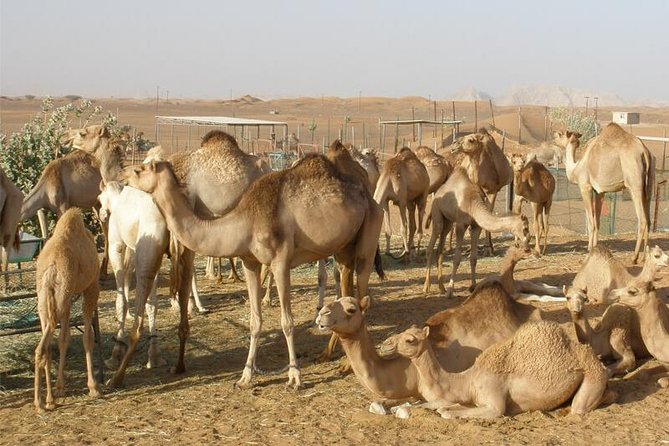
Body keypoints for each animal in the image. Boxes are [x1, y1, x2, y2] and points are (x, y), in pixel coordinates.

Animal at [33, 209, 100, 412]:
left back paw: (49, 399)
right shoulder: (92, 286)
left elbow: (64, 339)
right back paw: (39, 403)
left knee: (48, 345)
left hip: (46, 301)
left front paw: (60, 387)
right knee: (42, 348)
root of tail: (50, 270)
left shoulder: (68, 296)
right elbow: (87, 337)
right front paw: (93, 387)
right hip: (62, 296)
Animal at [126, 154, 383, 389]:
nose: (123, 175)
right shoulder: (249, 262)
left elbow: (287, 322)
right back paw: (329, 355)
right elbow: (254, 321)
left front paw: (295, 377)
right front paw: (245, 376)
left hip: (369, 234)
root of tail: (369, 197)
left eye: (140, 170)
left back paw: (348, 365)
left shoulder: (280, 262)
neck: (245, 221)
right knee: (346, 287)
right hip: (343, 248)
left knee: (362, 291)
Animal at [393, 322, 609, 419]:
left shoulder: (493, 400)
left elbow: (446, 412)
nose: (390, 344)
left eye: (410, 340)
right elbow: (441, 407)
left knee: (580, 407)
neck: (468, 381)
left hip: (593, 374)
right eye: (402, 333)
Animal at [423, 168, 529, 297]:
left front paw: (473, 287)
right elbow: (457, 258)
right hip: (437, 211)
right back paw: (426, 288)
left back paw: (441, 288)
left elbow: (473, 258)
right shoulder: (461, 224)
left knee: (440, 248)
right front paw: (450, 290)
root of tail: (438, 192)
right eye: (525, 228)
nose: (527, 244)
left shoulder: (476, 226)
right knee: (431, 244)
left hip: (448, 221)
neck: (473, 203)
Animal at [553, 124, 655, 263]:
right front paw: (595, 250)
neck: (576, 168)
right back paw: (645, 257)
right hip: (649, 185)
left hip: (635, 184)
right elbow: (597, 221)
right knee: (648, 219)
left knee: (643, 219)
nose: (553, 137)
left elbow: (591, 222)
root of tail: (644, 151)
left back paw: (634, 257)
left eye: (560, 134)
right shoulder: (599, 191)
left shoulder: (585, 187)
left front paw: (589, 252)